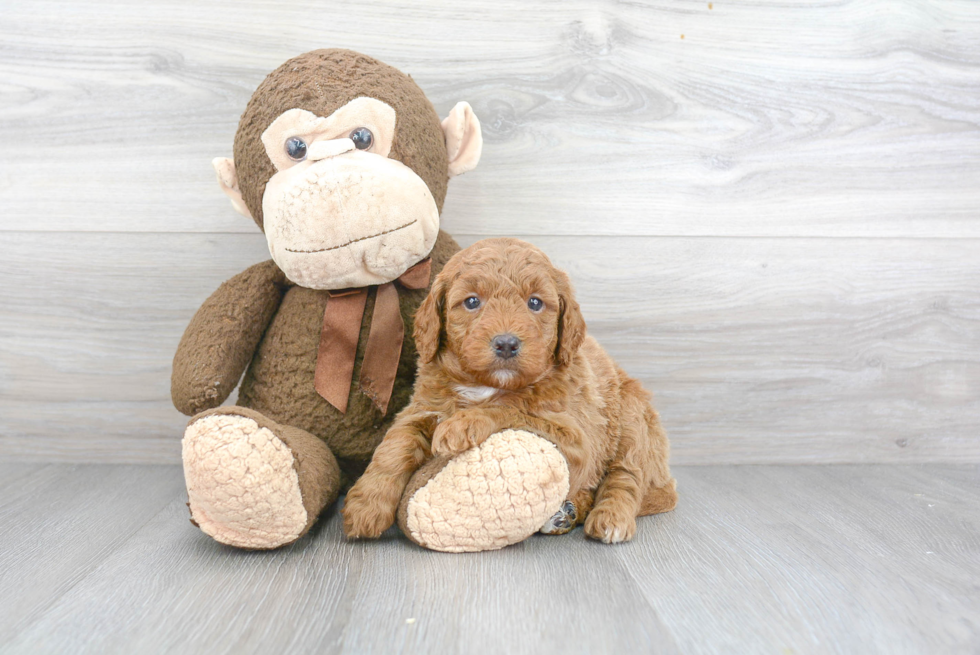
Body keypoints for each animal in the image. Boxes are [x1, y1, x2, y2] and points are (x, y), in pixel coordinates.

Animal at [342, 236, 672, 544]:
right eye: (472, 302)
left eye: (535, 303)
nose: (506, 344)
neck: (486, 385)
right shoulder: (421, 408)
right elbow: (394, 446)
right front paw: (365, 507)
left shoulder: (578, 440)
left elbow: (511, 408)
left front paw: (464, 423)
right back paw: (565, 513)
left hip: (632, 418)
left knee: (626, 476)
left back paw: (610, 518)